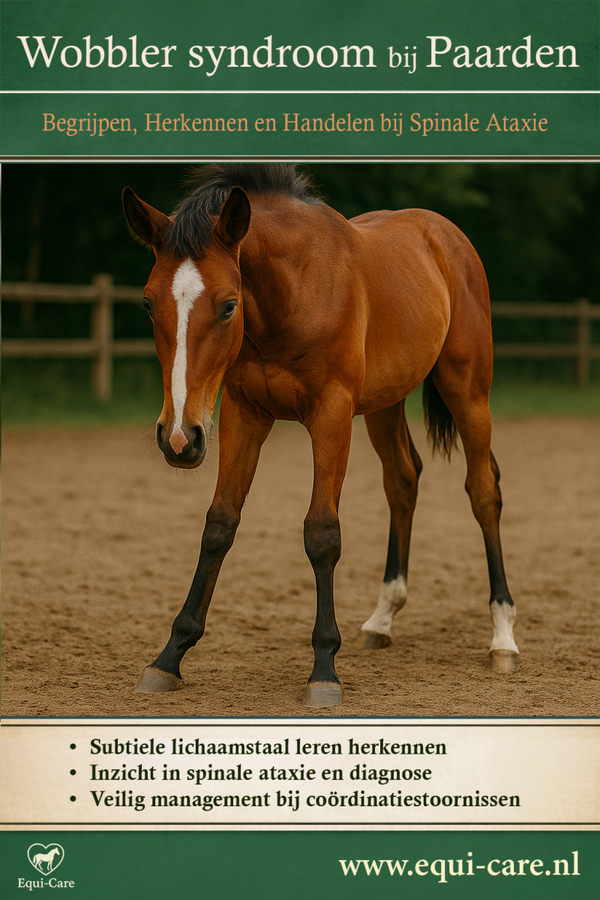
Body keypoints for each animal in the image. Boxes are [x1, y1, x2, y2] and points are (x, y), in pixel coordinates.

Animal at [123, 163, 518, 708]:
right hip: (384, 405)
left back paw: (503, 637)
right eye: (147, 303)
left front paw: (324, 669)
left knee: (483, 491)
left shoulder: (331, 415)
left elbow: (322, 533)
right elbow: (219, 524)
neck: (290, 295)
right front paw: (170, 656)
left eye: (228, 306)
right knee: (403, 480)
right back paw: (382, 619)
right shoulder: (243, 416)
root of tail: (445, 234)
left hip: (467, 392)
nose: (179, 438)